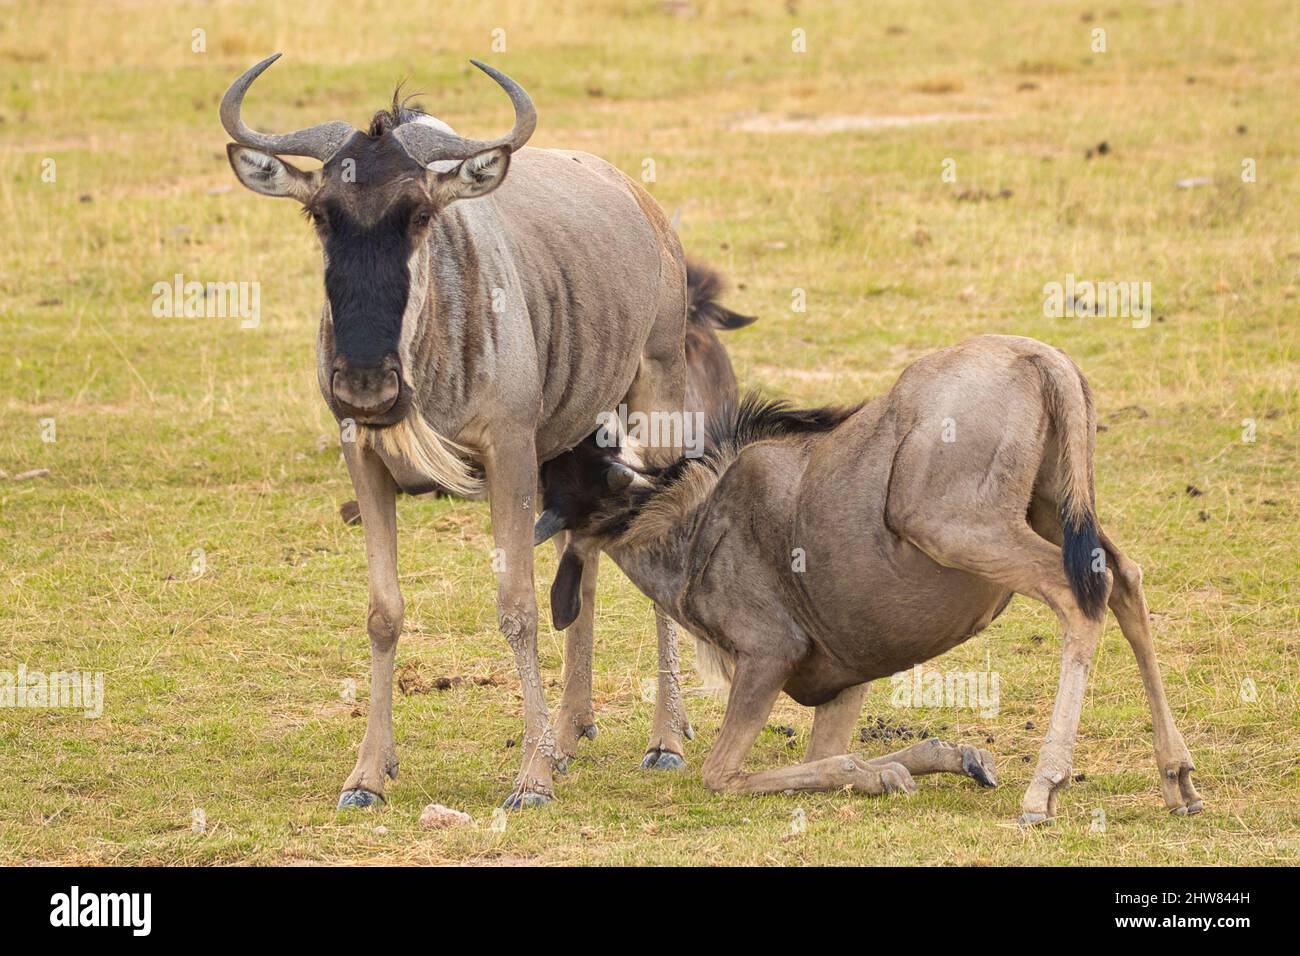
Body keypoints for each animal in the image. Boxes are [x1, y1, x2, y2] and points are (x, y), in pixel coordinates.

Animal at [533, 335, 1201, 822]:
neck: (688, 528)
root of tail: (1039, 356)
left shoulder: (768, 656)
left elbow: (724, 773)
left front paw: (874, 772)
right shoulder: (844, 676)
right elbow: (835, 753)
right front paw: (950, 758)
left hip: (956, 526)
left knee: (1079, 599)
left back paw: (1045, 787)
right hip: (1054, 510)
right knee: (1125, 580)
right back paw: (1177, 778)